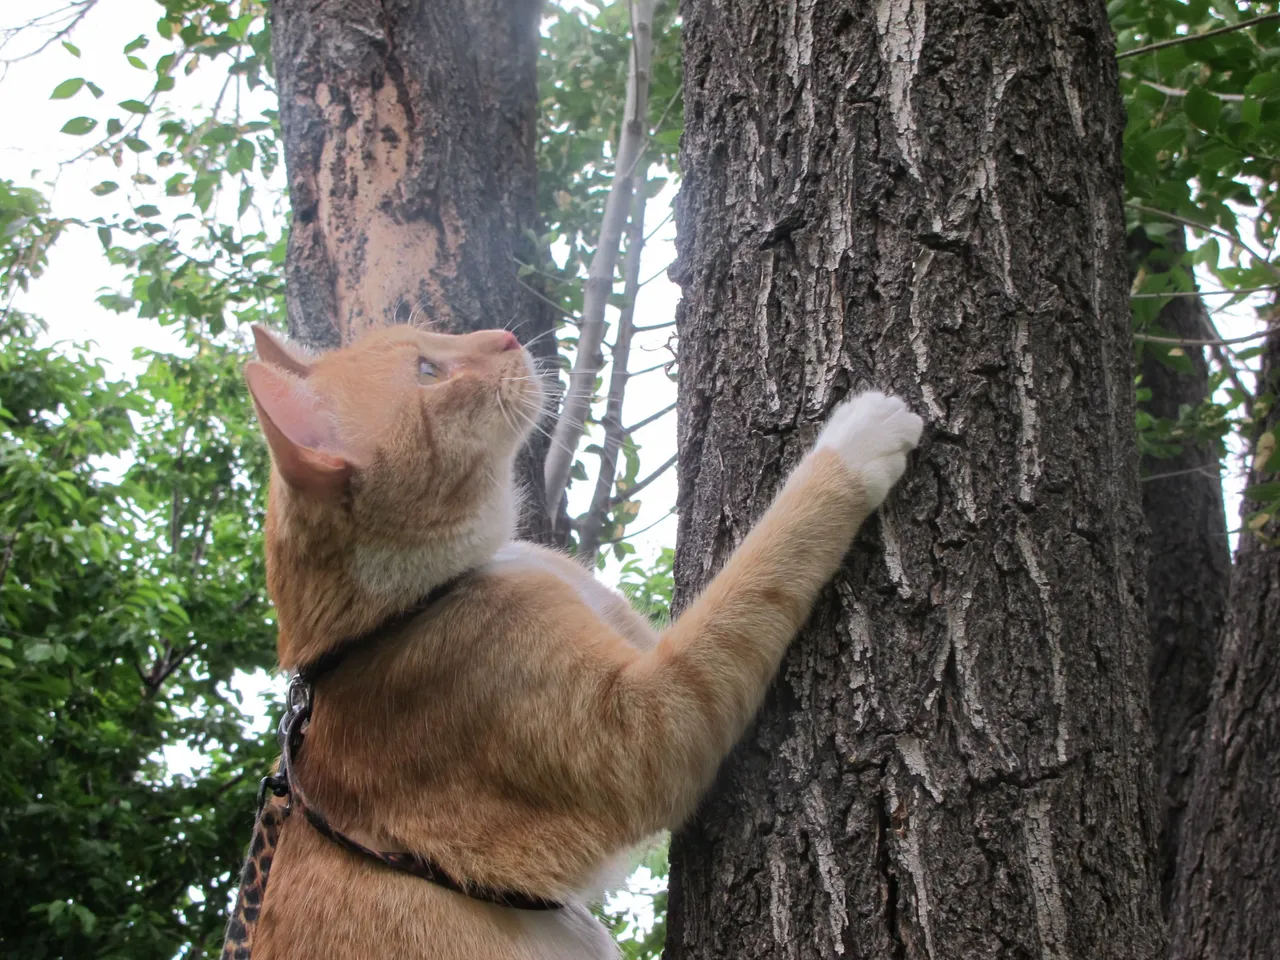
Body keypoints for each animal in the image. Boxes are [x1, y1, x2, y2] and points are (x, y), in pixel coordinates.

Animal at [238, 320, 921, 957]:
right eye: (429, 371)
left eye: (429, 335)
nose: (504, 335)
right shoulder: (649, 722)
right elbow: (755, 572)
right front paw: (858, 439)